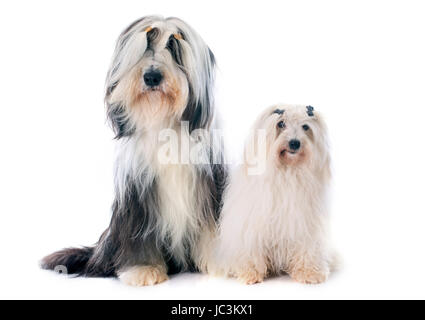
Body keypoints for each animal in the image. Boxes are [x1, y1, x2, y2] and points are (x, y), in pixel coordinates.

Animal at [208, 104, 334, 284]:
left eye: (305, 127)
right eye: (280, 124)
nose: (294, 143)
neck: (288, 172)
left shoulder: (306, 224)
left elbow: (307, 247)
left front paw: (309, 272)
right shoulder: (252, 224)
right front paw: (251, 273)